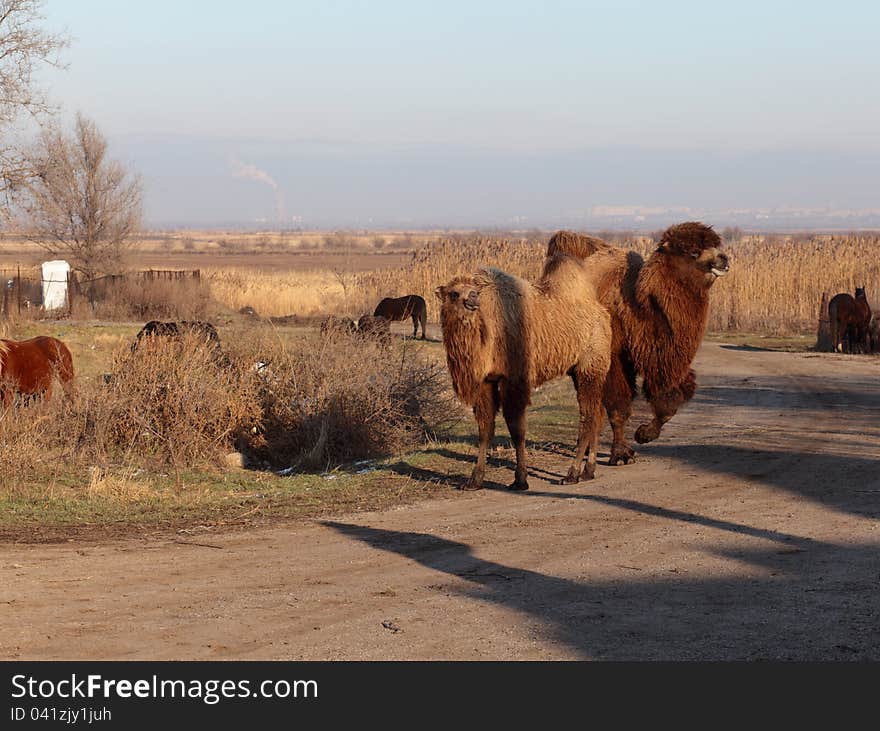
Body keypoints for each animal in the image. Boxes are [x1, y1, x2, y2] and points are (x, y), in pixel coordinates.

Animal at [434, 252, 612, 492]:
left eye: (474, 290)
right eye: (453, 293)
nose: (472, 298)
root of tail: (603, 314)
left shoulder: (514, 378)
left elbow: (517, 429)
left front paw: (520, 479)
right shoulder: (485, 381)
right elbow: (485, 428)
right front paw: (474, 480)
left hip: (590, 365)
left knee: (589, 415)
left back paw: (572, 474)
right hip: (579, 371)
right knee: (598, 411)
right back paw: (588, 471)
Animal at [552, 220, 728, 466]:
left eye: (715, 245)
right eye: (693, 251)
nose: (724, 259)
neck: (638, 306)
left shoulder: (665, 359)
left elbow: (669, 403)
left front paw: (644, 434)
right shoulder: (615, 358)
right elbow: (619, 408)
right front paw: (621, 454)